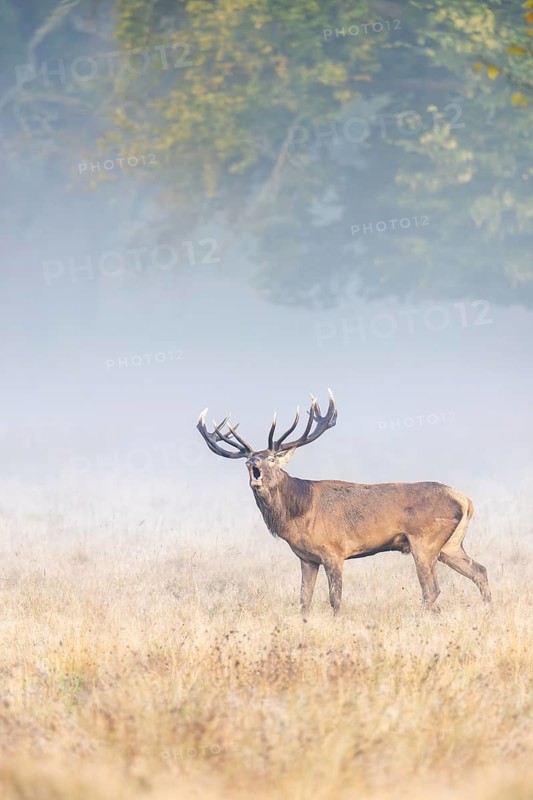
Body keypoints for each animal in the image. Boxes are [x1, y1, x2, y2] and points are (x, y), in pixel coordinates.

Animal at [197, 390, 491, 618]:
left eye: (272, 458)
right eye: (249, 460)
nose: (252, 463)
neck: (298, 513)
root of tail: (465, 500)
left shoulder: (334, 551)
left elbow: (335, 599)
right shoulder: (307, 558)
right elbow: (304, 600)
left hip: (425, 541)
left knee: (432, 589)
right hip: (450, 545)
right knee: (480, 570)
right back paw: (488, 610)